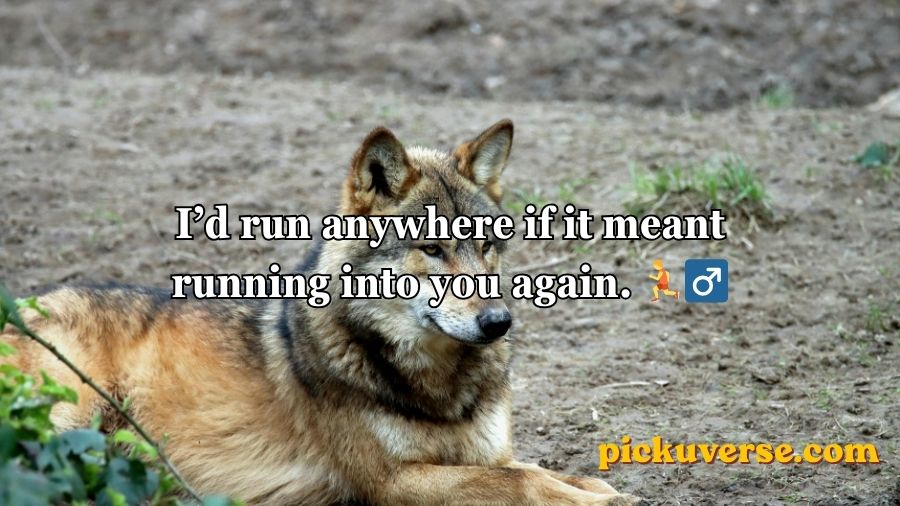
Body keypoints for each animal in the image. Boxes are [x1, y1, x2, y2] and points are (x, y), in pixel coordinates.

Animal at [2, 120, 639, 505]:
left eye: (486, 245)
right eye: (432, 248)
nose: (498, 323)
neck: (439, 386)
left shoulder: (488, 452)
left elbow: (543, 471)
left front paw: (600, 489)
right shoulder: (391, 482)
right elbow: (523, 480)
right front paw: (606, 499)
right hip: (70, 416)